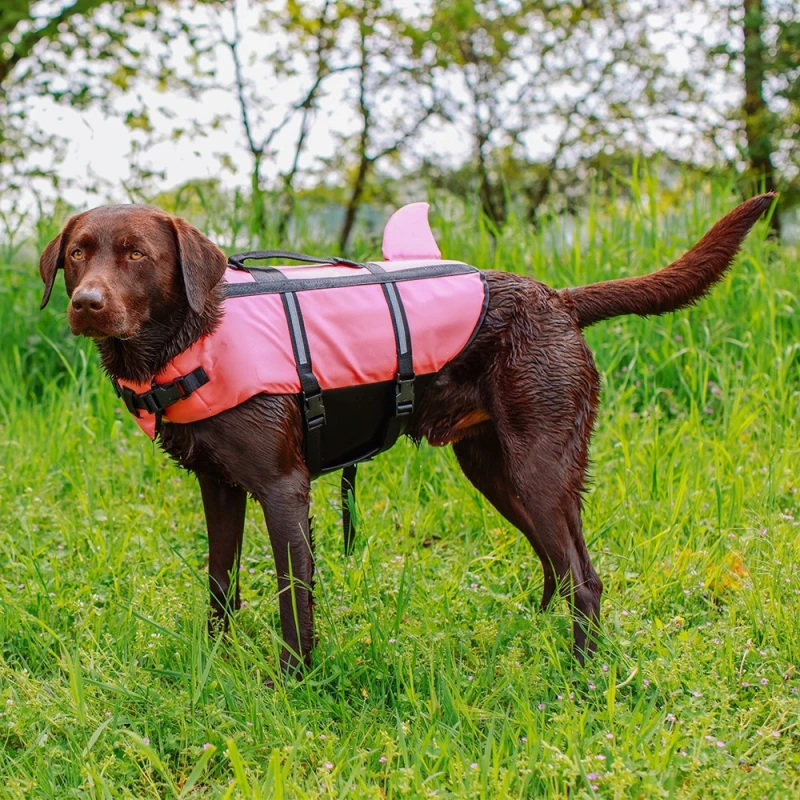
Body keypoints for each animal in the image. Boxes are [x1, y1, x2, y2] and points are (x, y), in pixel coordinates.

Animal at [39, 194, 776, 668]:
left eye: (137, 254)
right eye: (77, 253)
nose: (86, 304)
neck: (194, 335)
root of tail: (560, 300)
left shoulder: (284, 489)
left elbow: (293, 599)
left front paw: (290, 685)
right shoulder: (219, 489)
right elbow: (221, 585)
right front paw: (213, 667)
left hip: (538, 467)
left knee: (584, 577)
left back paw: (580, 677)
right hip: (495, 470)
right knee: (559, 567)